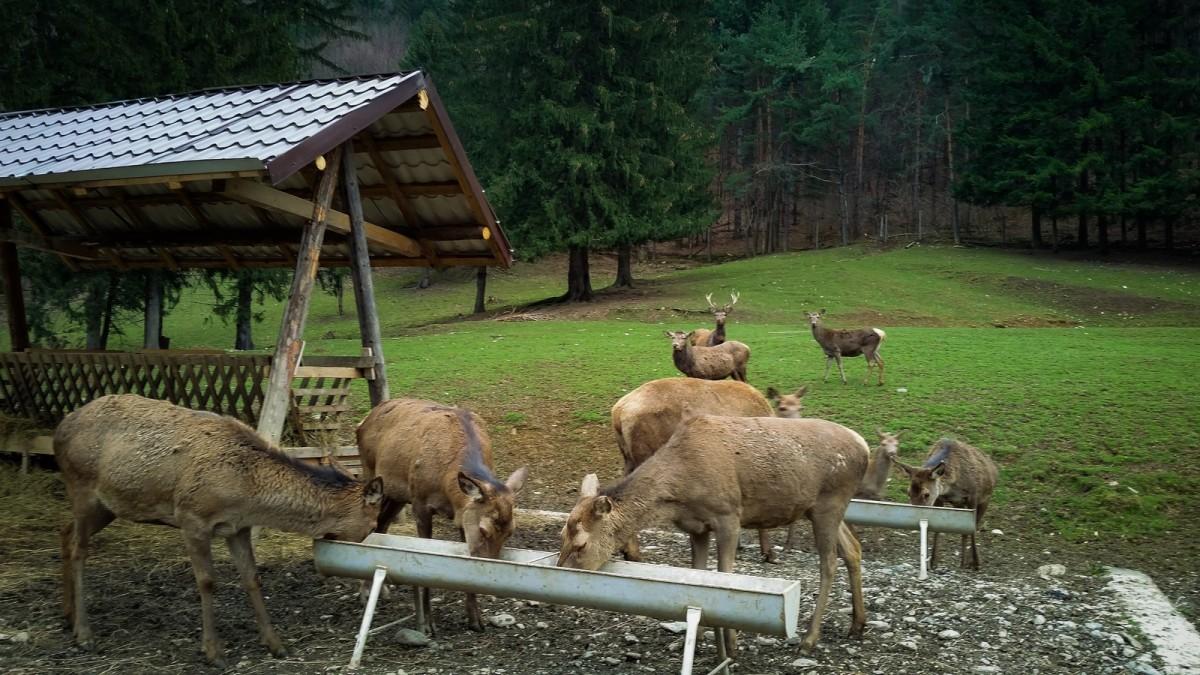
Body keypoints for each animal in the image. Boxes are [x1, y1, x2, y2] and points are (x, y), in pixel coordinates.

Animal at [55, 391, 384, 662]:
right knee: (79, 549)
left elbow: (252, 578)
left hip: (109, 505)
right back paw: (84, 633)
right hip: (81, 487)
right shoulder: (192, 518)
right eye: (371, 525)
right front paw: (213, 651)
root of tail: (62, 426)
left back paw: (68, 614)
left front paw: (276, 644)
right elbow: (207, 581)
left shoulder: (238, 527)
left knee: (66, 532)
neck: (247, 491)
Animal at [352, 393, 528, 629]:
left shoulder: (462, 514)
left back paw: (382, 589)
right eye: (484, 530)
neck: (446, 485)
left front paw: (475, 619)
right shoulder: (420, 504)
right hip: (371, 472)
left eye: (510, 532)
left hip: (396, 493)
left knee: (382, 523)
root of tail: (363, 420)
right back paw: (364, 593)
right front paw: (428, 623)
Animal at [556, 410, 868, 653]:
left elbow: (725, 575)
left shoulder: (729, 515)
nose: (560, 575)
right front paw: (702, 631)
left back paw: (809, 638)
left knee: (829, 562)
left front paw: (731, 642)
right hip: (820, 508)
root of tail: (864, 446)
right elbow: (700, 574)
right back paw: (857, 624)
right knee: (853, 549)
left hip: (830, 501)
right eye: (561, 537)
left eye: (581, 544)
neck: (680, 493)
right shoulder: (696, 527)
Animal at [897, 437, 998, 566]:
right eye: (908, 492)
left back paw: (968, 561)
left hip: (986, 499)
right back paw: (963, 561)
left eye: (926, 494)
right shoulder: (939, 498)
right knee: (963, 530)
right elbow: (939, 528)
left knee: (972, 527)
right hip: (959, 505)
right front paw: (933, 562)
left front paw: (976, 562)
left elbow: (972, 530)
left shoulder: (973, 497)